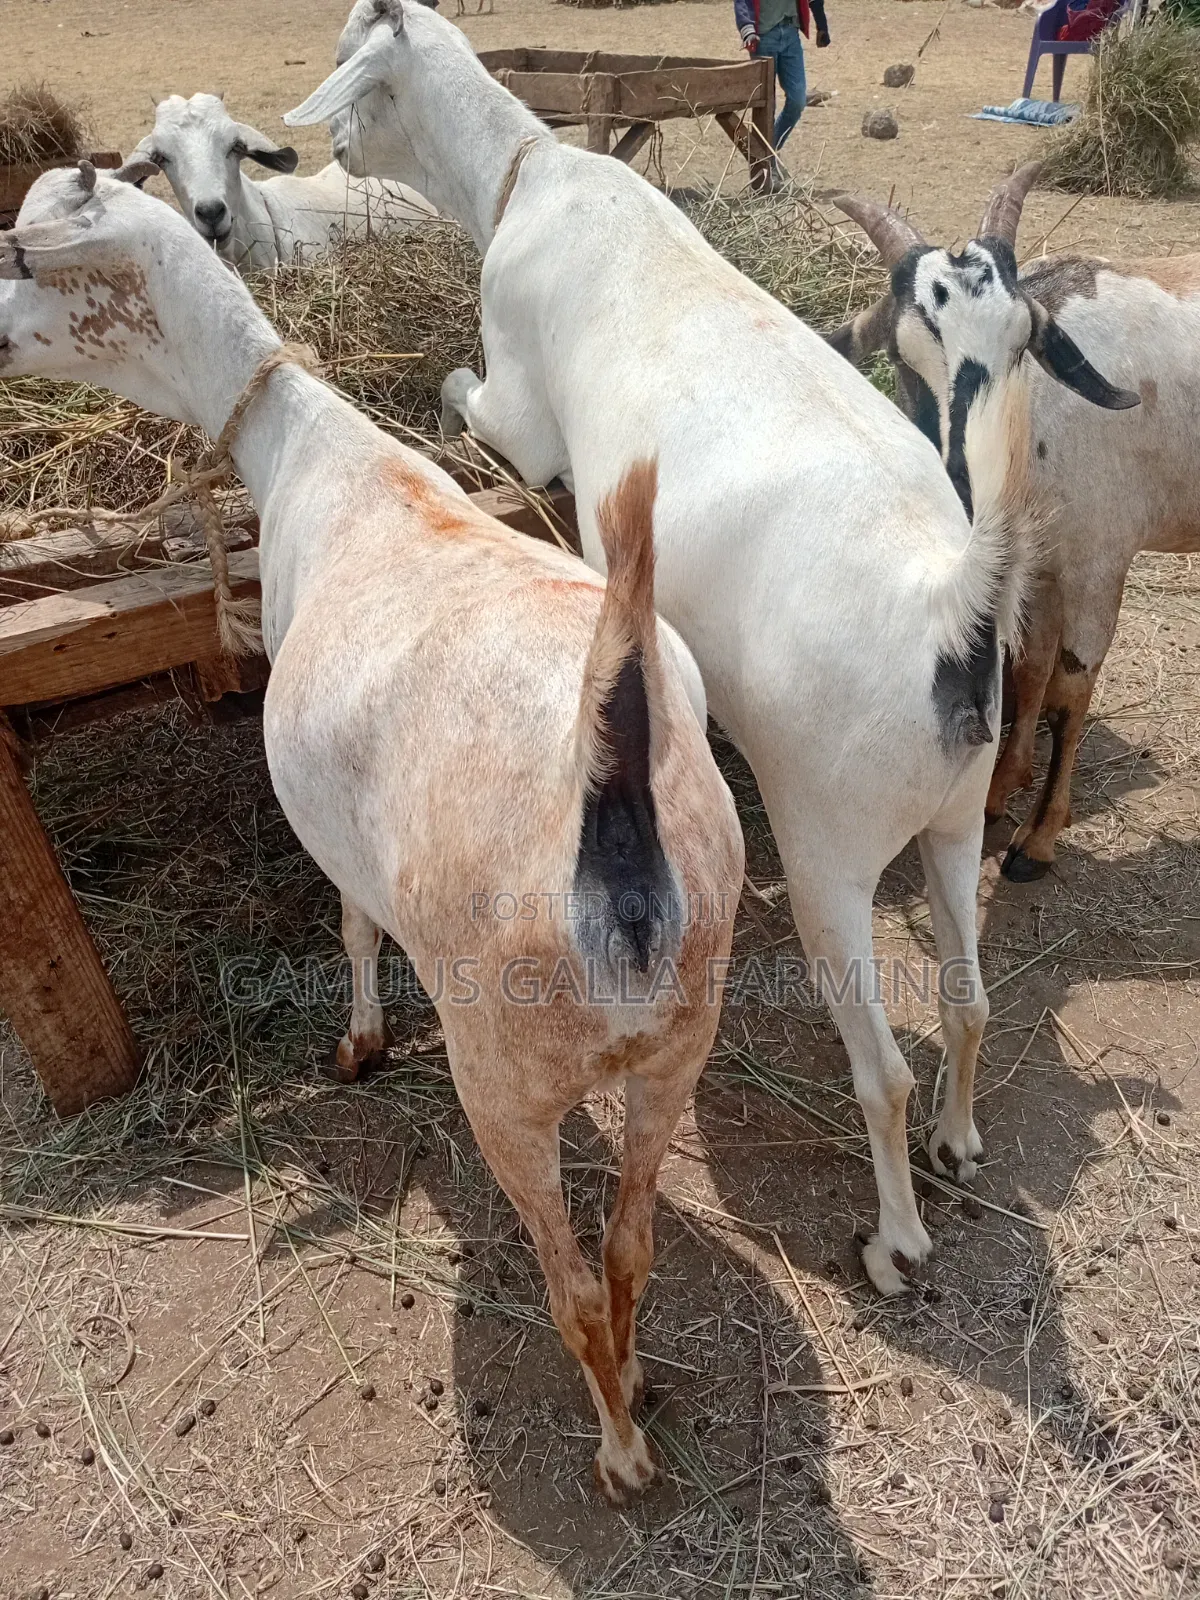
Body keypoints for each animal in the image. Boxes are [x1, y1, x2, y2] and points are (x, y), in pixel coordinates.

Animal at [0, 162, 743, 1501]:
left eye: (28, 255)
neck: (321, 460)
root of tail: (611, 801)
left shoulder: (334, 832)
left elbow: (349, 927)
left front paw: (356, 1043)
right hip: (680, 1043)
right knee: (631, 1246)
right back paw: (643, 1384)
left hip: (505, 1075)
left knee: (567, 1278)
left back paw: (618, 1453)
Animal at [286, 0, 1127, 1295]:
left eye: (349, 65)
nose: (328, 153)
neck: (525, 174)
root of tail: (953, 602)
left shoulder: (523, 416)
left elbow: (471, 401)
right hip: (953, 810)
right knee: (973, 999)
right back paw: (960, 1138)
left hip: (830, 848)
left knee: (880, 1063)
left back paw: (895, 1239)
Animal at [825, 165, 1198, 880]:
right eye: (902, 357)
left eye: (1022, 346)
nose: (967, 480)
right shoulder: (1038, 568)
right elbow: (1028, 672)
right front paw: (1001, 790)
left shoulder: (1097, 563)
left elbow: (1072, 688)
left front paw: (1040, 836)